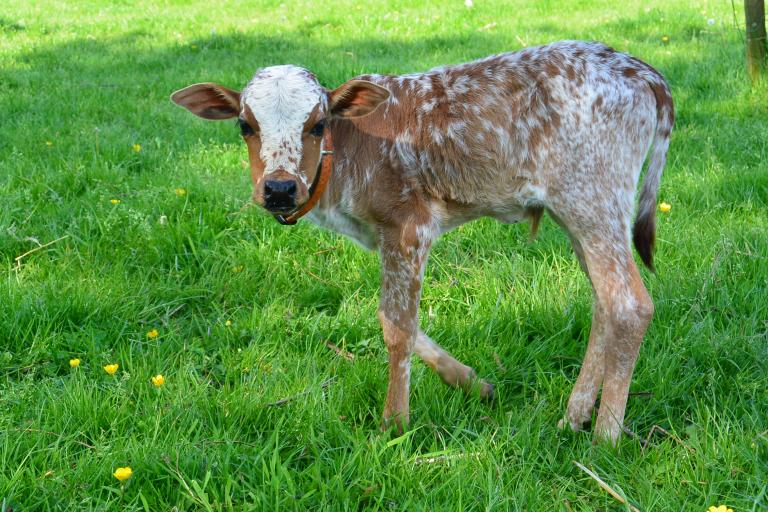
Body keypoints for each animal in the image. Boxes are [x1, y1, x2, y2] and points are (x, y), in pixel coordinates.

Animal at [170, 40, 672, 444]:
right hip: (578, 212)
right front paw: (472, 382)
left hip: (593, 199)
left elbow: (397, 327)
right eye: (244, 125)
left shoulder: (408, 226)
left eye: (317, 124)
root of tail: (641, 70)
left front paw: (394, 424)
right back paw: (574, 417)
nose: (278, 189)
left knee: (629, 305)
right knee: (603, 303)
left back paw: (605, 437)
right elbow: (399, 322)